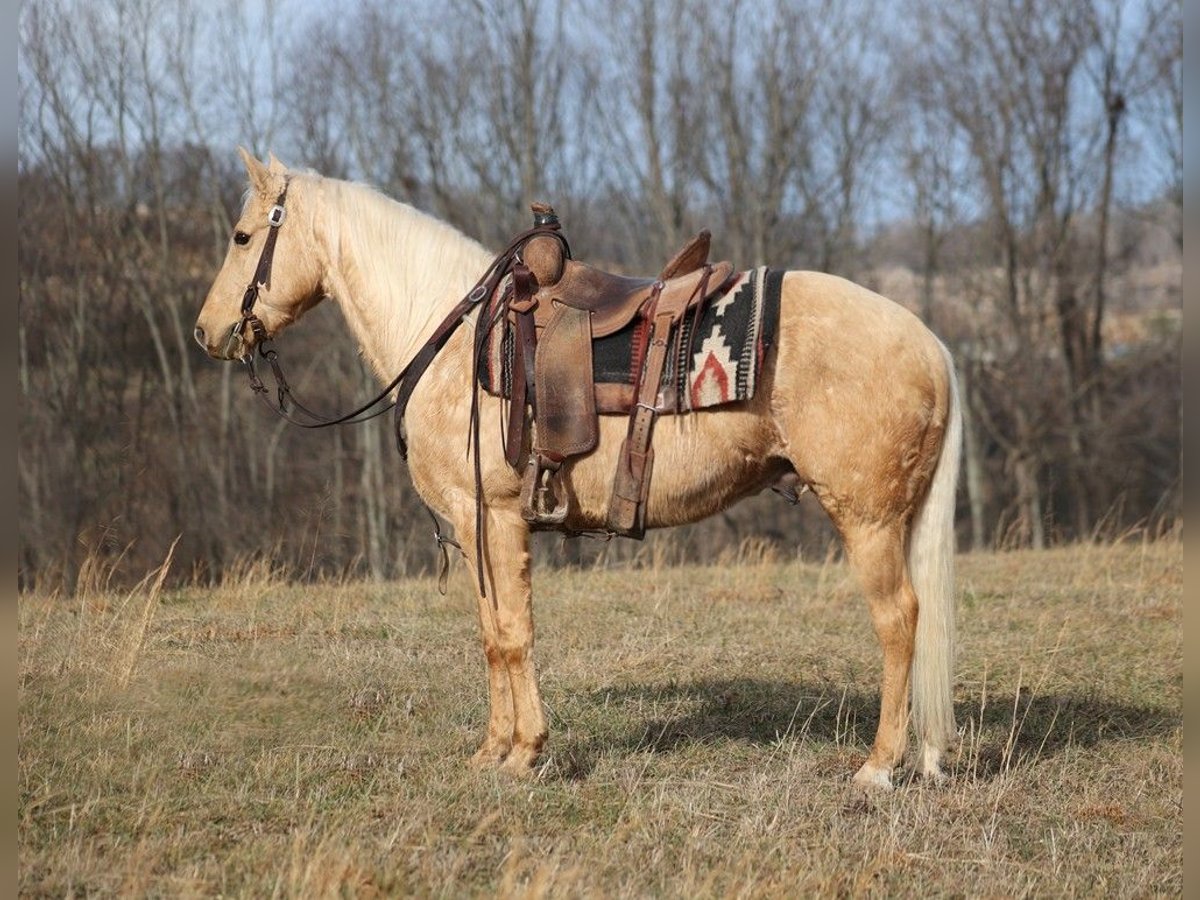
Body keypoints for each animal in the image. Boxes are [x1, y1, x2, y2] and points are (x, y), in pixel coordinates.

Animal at [199, 151, 964, 792]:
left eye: (241, 237)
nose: (208, 332)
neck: (453, 340)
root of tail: (931, 343)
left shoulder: (494, 517)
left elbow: (513, 634)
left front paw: (525, 753)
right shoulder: (476, 531)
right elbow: (491, 636)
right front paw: (491, 751)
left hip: (867, 520)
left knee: (899, 620)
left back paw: (878, 767)